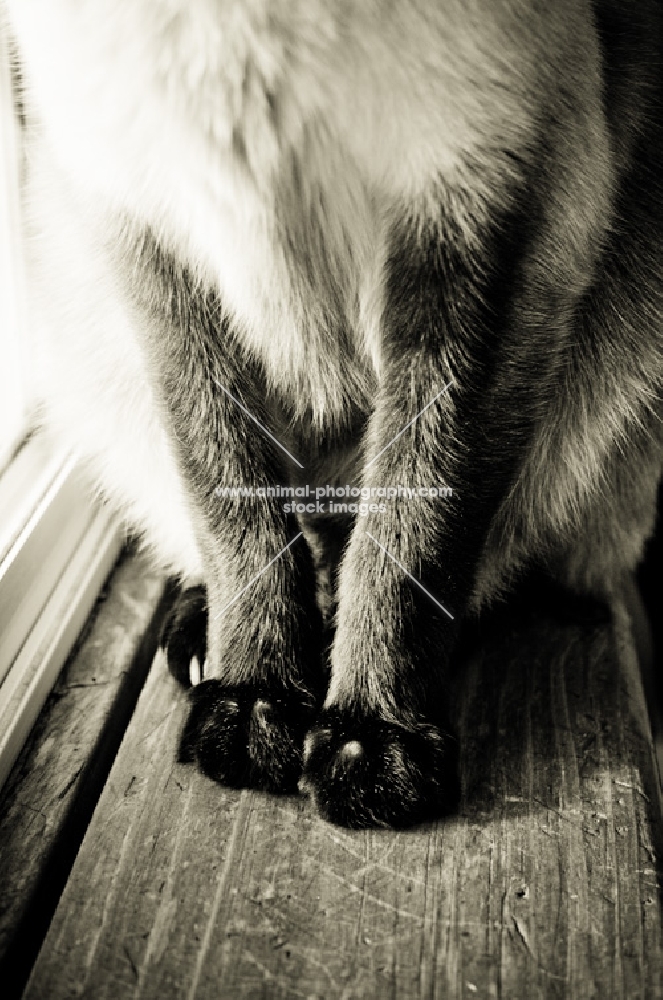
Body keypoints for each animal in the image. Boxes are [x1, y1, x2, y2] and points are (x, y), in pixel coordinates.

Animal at [5, 0, 663, 828]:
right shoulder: (149, 223)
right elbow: (230, 505)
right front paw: (255, 698)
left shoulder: (484, 205)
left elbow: (413, 533)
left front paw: (373, 739)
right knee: (280, 541)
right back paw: (213, 641)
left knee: (467, 561)